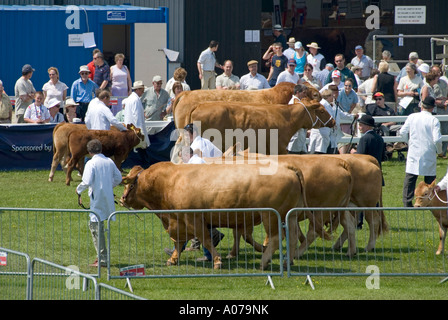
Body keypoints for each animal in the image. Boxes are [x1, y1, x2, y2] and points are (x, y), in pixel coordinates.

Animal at [119, 162, 308, 270]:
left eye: (129, 184)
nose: (121, 199)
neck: (169, 181)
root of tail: (287, 167)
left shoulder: (192, 219)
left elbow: (206, 240)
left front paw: (217, 261)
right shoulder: (179, 220)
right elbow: (179, 242)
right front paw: (173, 259)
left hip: (271, 215)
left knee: (277, 238)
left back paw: (264, 262)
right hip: (290, 214)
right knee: (292, 237)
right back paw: (287, 261)